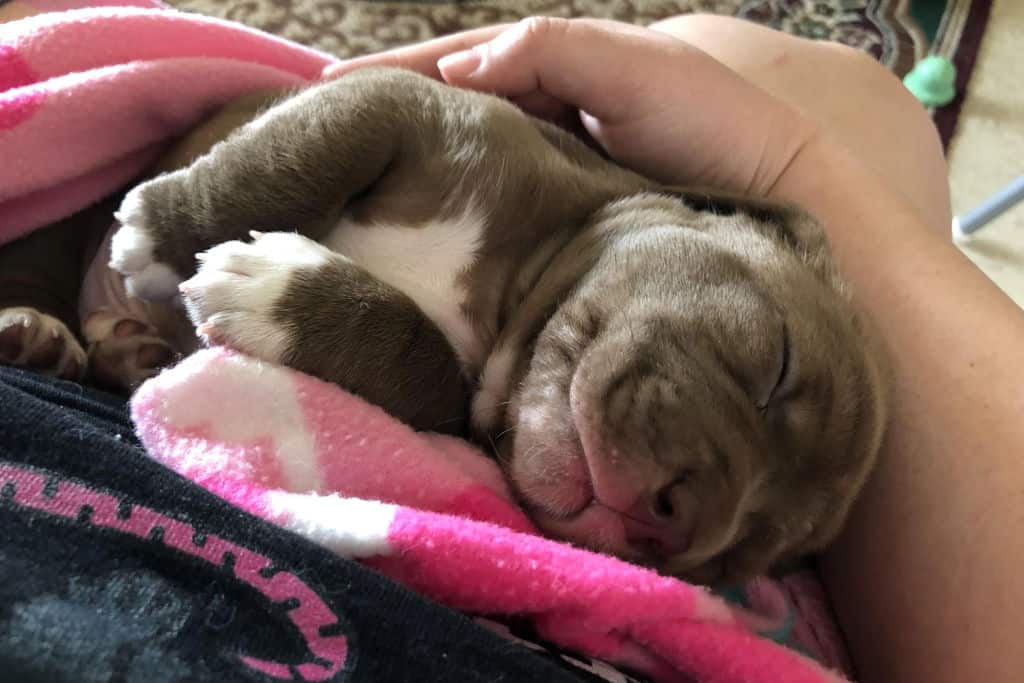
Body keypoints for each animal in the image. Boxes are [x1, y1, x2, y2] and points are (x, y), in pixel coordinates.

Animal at [2, 66, 888, 585]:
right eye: (774, 366)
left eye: (752, 548)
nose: (684, 523)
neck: (504, 297)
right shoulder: (406, 103)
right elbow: (294, 157)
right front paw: (163, 230)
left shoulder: (455, 403)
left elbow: (418, 361)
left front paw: (281, 293)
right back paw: (36, 325)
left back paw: (122, 348)